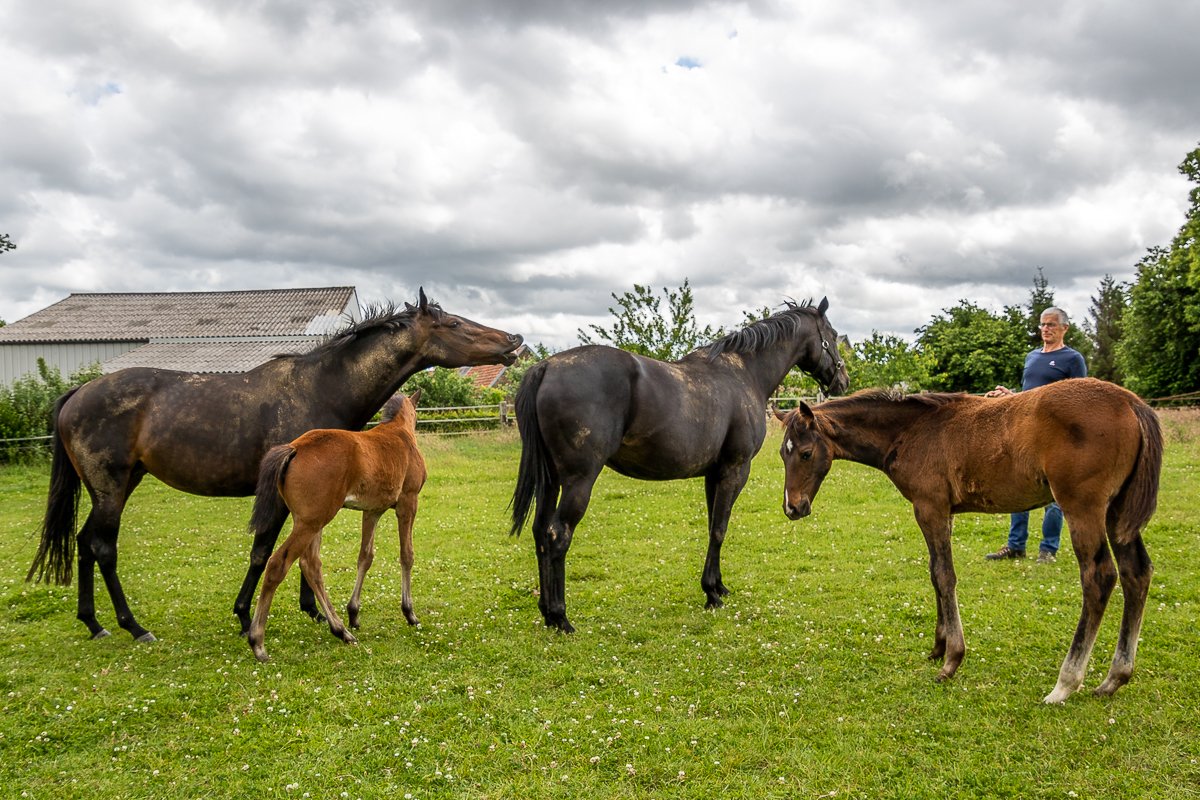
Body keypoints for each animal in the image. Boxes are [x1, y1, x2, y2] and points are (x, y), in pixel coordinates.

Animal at [244, 390, 425, 662]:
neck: (399, 431)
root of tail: (294, 448)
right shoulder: (408, 501)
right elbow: (407, 555)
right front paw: (409, 613)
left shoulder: (372, 511)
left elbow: (365, 556)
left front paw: (354, 613)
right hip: (312, 522)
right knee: (279, 563)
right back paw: (258, 643)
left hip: (311, 521)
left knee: (311, 565)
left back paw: (341, 630)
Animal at [510, 297, 850, 633]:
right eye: (832, 336)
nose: (843, 381)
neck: (744, 374)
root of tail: (546, 367)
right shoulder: (735, 470)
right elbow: (720, 529)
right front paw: (712, 594)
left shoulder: (714, 475)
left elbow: (713, 525)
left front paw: (718, 586)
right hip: (578, 480)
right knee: (558, 535)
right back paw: (560, 617)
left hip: (551, 481)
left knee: (541, 532)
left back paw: (546, 613)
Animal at [774, 377, 1163, 703]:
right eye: (782, 453)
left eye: (806, 453)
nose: (793, 507)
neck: (912, 430)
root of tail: (1132, 403)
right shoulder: (942, 512)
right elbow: (935, 574)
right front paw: (938, 647)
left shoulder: (929, 507)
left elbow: (944, 575)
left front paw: (951, 660)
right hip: (1118, 513)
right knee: (1136, 574)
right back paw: (1114, 678)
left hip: (1083, 507)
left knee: (1099, 578)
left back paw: (1065, 684)